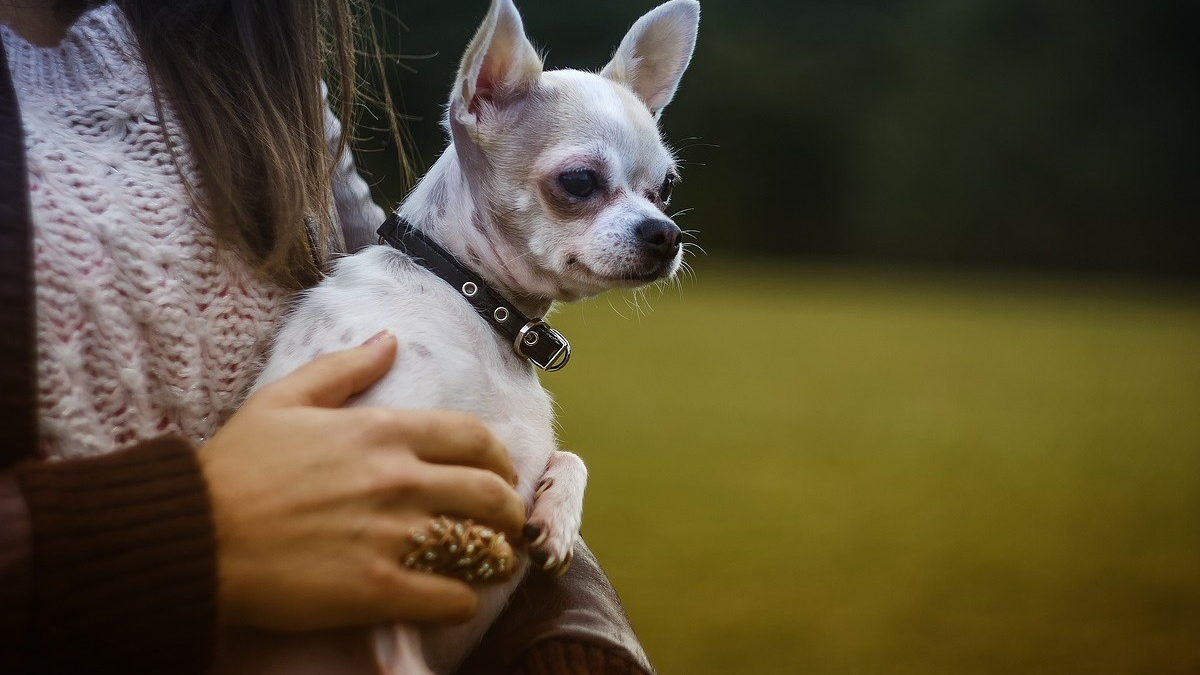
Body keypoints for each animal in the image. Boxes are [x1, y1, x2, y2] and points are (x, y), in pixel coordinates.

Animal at [256, 2, 700, 667]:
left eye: (666, 187)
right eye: (579, 181)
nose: (665, 234)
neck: (469, 299)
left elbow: (570, 455)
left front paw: (558, 517)